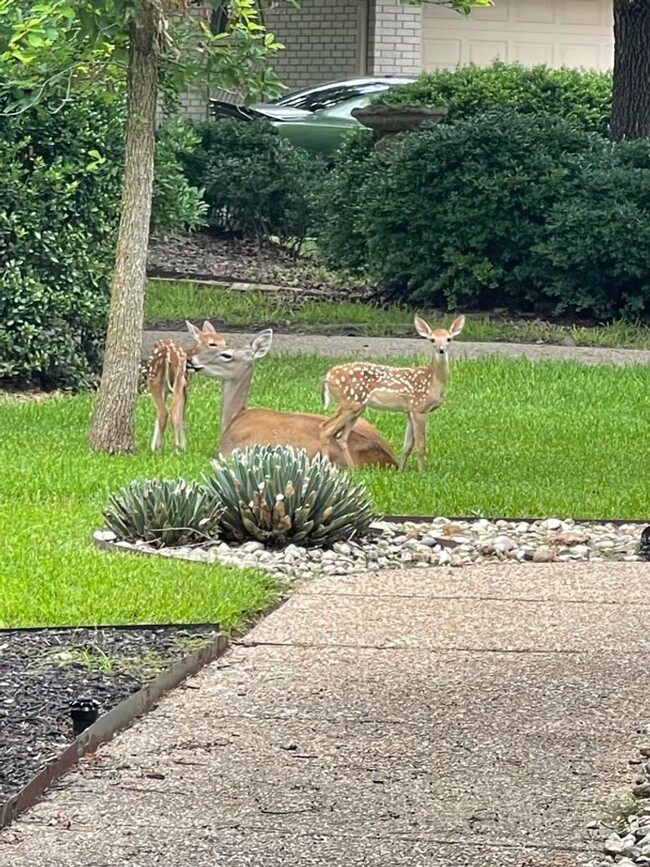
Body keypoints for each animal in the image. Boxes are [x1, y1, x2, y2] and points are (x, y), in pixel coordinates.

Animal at [147, 320, 225, 454]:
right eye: (212, 343)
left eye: (224, 341)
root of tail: (166, 354)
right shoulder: (185, 387)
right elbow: (182, 414)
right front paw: (184, 446)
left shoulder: (165, 390)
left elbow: (158, 414)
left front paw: (155, 445)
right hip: (179, 380)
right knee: (173, 411)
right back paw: (176, 448)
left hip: (154, 380)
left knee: (163, 412)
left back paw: (157, 449)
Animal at [187, 328, 398, 472]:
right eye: (217, 345)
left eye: (226, 354)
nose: (192, 360)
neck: (234, 417)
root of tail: (390, 460)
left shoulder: (229, 452)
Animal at [318, 314, 460, 472]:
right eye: (432, 339)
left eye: (449, 339)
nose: (441, 350)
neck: (432, 381)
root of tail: (329, 376)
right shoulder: (419, 408)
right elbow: (421, 446)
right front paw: (422, 472)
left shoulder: (409, 411)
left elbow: (407, 446)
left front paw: (401, 471)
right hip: (350, 402)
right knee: (325, 429)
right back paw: (326, 467)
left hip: (356, 407)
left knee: (340, 437)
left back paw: (353, 469)